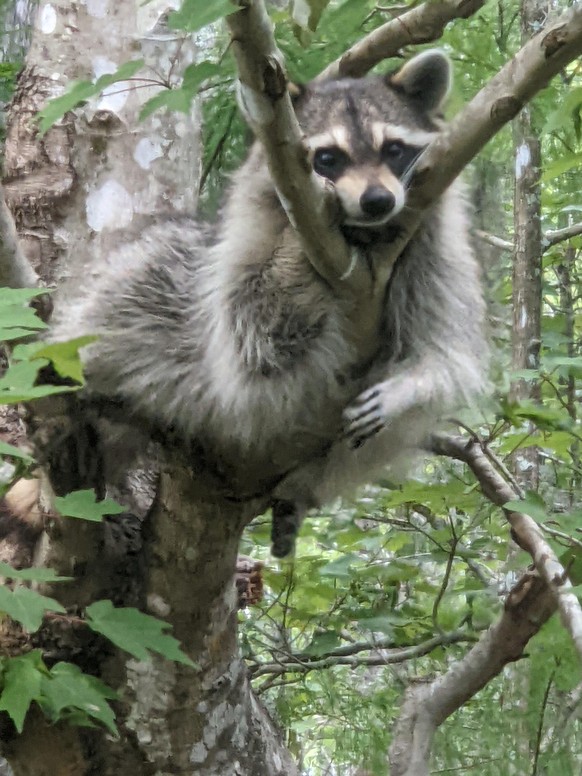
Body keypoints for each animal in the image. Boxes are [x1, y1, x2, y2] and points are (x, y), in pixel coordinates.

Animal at [49, 48, 488, 556]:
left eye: (393, 150)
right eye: (328, 159)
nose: (377, 200)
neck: (362, 239)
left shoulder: (428, 249)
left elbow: (443, 349)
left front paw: (409, 386)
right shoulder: (238, 262)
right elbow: (256, 335)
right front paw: (302, 238)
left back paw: (299, 491)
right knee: (136, 284)